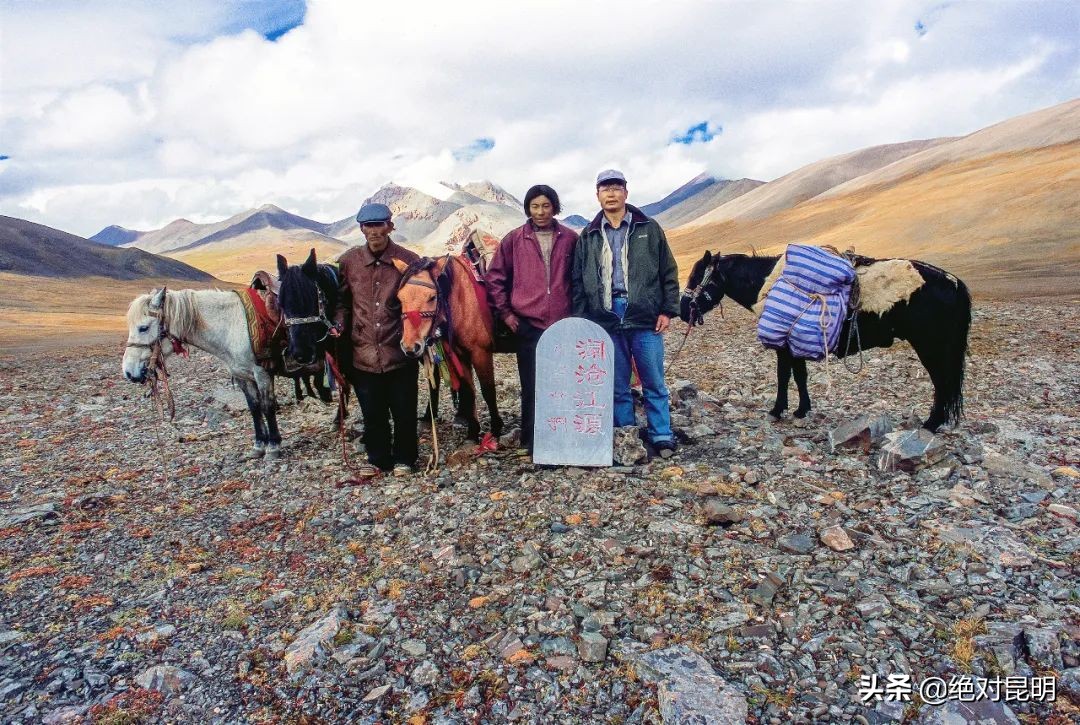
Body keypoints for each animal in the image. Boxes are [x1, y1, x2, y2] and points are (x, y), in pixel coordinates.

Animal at [122, 287, 282, 460]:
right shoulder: (243, 376)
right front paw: (258, 446)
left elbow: (267, 407)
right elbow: (254, 408)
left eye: (143, 328)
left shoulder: (262, 374)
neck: (234, 325)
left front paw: (273, 447)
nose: (128, 371)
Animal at [395, 253, 503, 442]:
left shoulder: (481, 353)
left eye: (432, 297)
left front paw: (496, 429)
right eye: (400, 298)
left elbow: (488, 391)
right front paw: (473, 432)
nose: (409, 346)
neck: (463, 300)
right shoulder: (461, 355)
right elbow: (469, 391)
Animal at [678, 249, 976, 432]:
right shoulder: (795, 343)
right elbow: (800, 376)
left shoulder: (784, 344)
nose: (681, 309)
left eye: (696, 276)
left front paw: (777, 410)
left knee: (942, 383)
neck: (768, 284)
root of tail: (955, 283)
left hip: (931, 347)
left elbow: (784, 375)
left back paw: (931, 423)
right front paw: (802, 410)